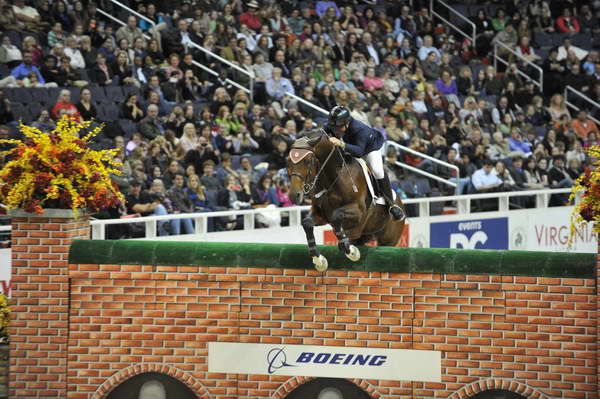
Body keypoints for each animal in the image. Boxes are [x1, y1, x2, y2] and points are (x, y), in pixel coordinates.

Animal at [288, 128, 408, 272]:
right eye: (288, 161)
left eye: (307, 161)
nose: (294, 195)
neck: (333, 178)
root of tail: (400, 202)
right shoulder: (321, 214)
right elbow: (307, 223)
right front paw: (319, 259)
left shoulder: (358, 213)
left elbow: (336, 217)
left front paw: (351, 251)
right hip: (365, 233)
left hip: (389, 239)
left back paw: (396, 211)